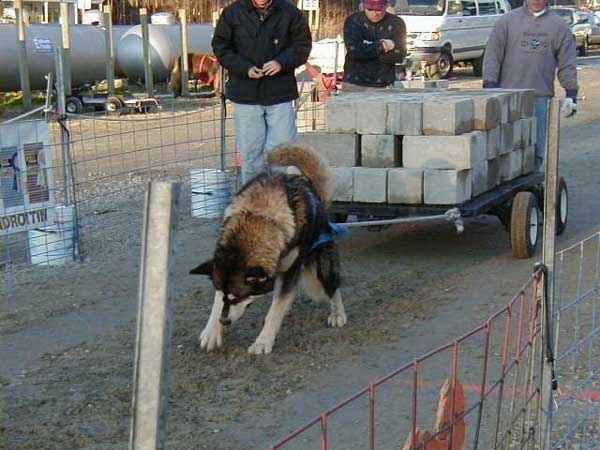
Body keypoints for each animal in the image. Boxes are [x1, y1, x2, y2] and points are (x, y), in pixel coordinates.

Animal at [190, 144, 344, 356]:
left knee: (333, 287)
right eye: (224, 294)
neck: (259, 215)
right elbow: (217, 303)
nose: (224, 321)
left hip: (320, 272)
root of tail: (316, 194)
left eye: (240, 297)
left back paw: (338, 313)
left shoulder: (289, 274)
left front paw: (263, 341)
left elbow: (274, 311)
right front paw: (212, 331)